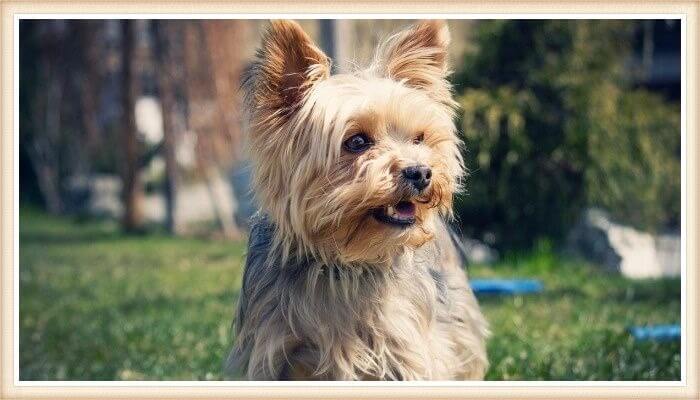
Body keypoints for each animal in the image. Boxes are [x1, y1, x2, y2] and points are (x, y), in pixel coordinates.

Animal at [228, 19, 486, 382]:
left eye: (419, 138)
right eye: (357, 142)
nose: (421, 172)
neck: (345, 263)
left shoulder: (408, 348)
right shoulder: (276, 352)